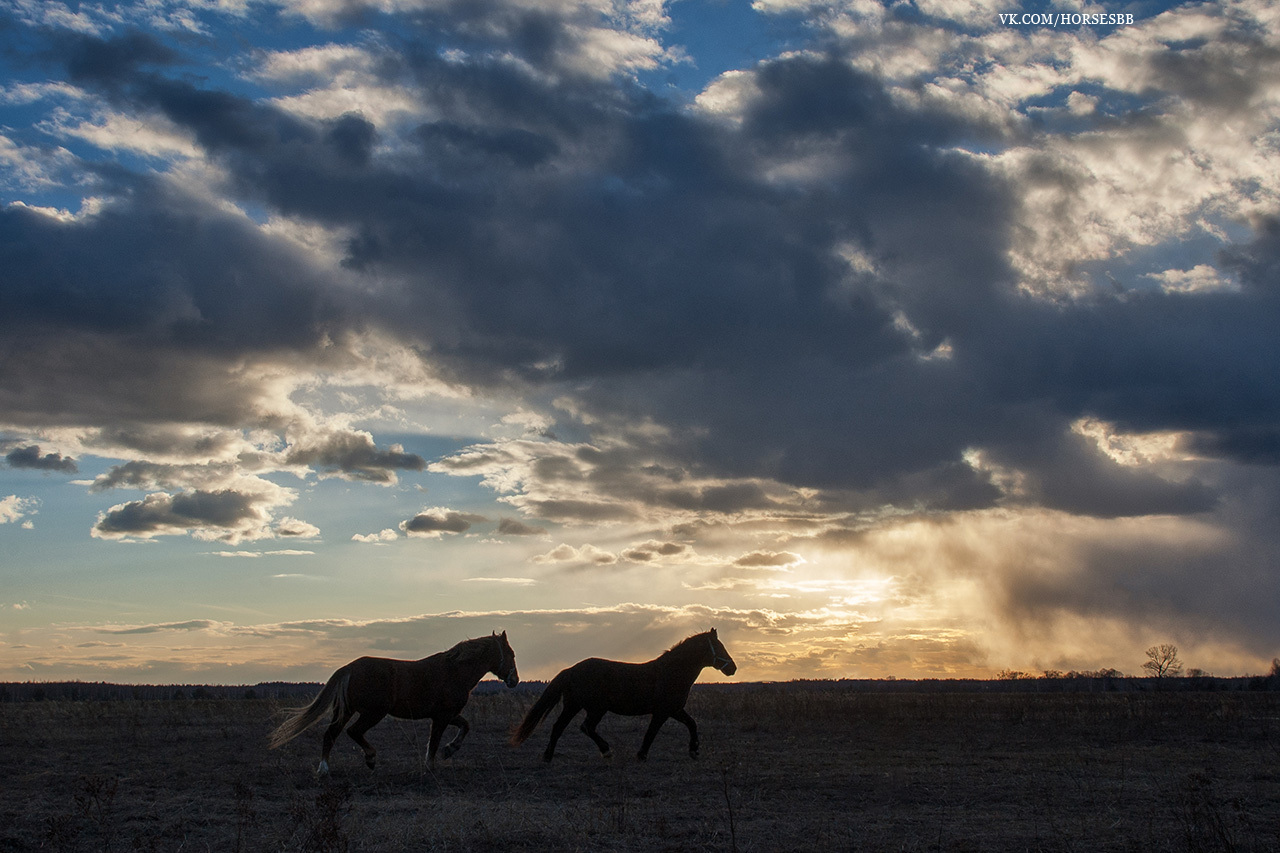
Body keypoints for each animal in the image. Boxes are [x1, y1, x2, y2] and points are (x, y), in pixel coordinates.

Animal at [267, 627, 517, 773]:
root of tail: (349, 668)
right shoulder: (442, 716)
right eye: (512, 654)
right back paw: (369, 759)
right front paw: (433, 763)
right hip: (373, 713)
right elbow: (435, 741)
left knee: (331, 734)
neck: (454, 671)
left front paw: (450, 750)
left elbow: (464, 726)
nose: (514, 680)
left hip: (346, 711)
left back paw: (324, 769)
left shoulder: (446, 715)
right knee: (353, 732)